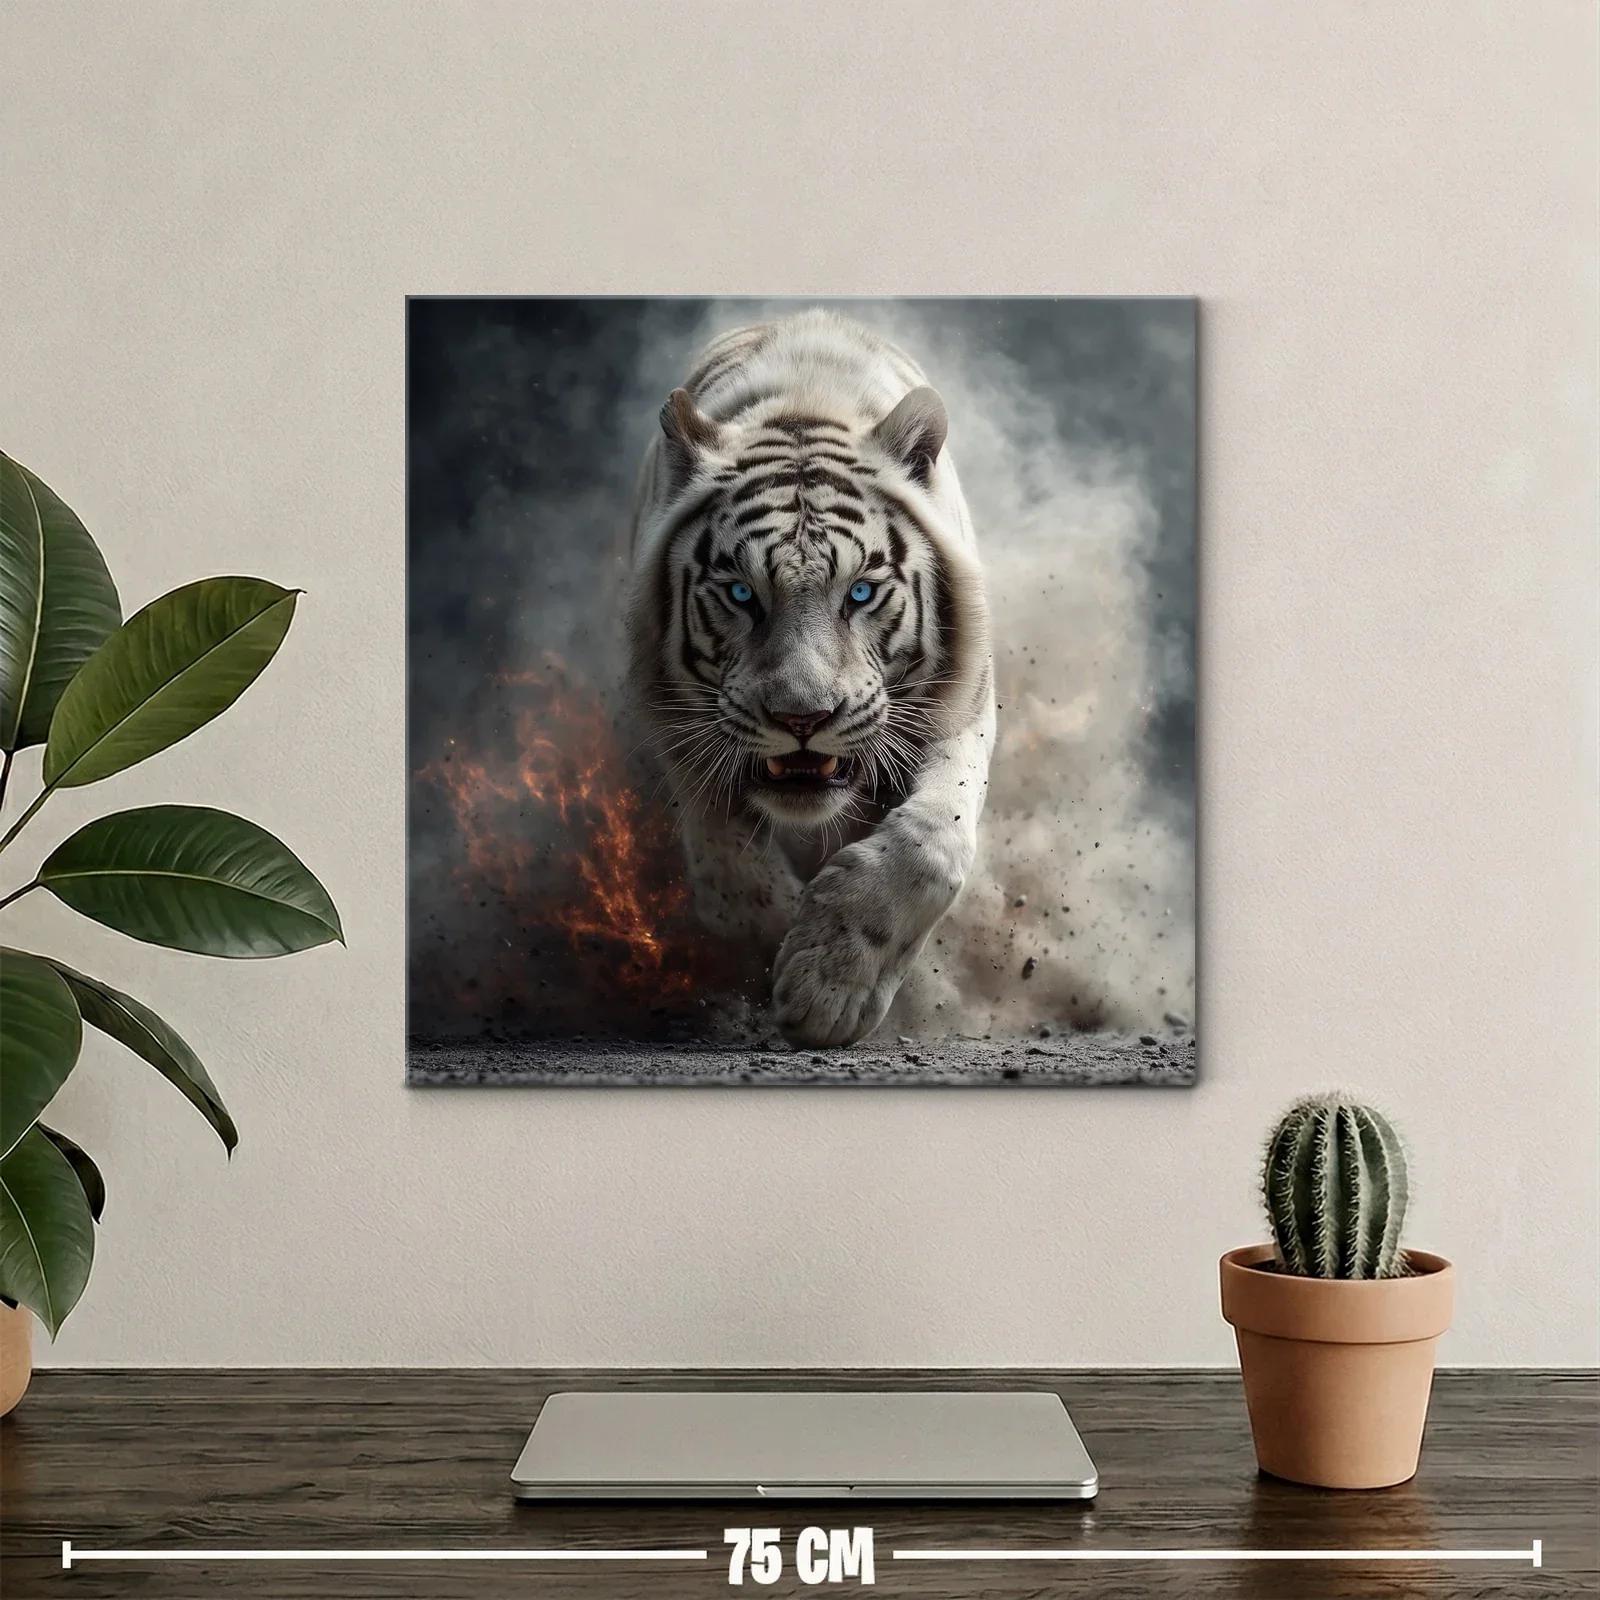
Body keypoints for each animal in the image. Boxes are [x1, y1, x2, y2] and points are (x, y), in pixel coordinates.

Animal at [625, 310, 996, 1047]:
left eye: (861, 592)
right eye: (741, 593)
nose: (802, 719)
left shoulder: (964, 706)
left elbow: (933, 845)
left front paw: (829, 987)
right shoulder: (677, 727)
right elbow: (731, 881)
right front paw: (789, 961)